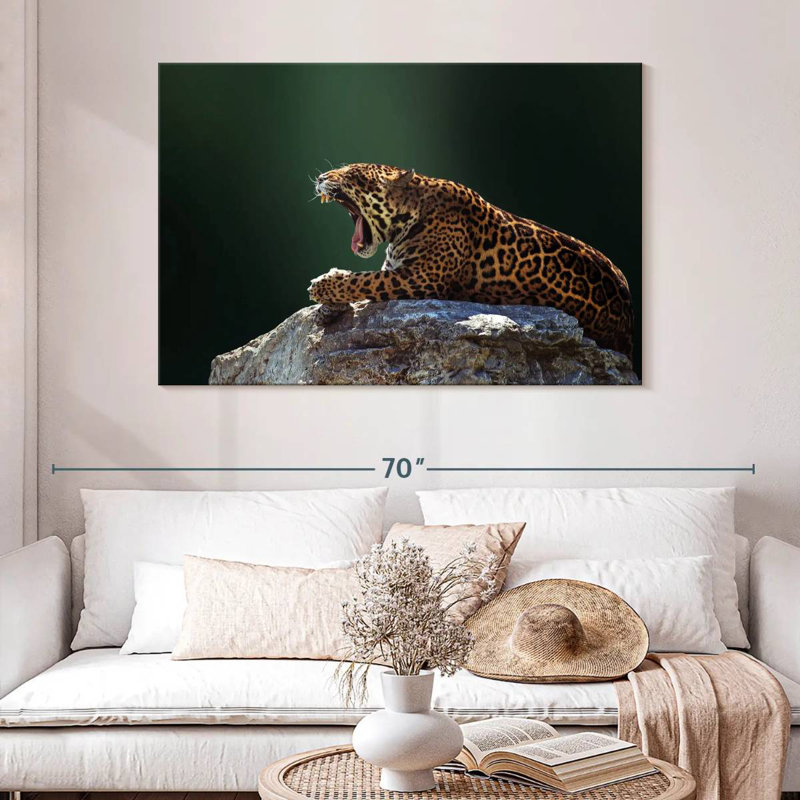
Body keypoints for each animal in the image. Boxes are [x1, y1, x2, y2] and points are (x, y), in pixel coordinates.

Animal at [309, 163, 634, 359]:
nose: (321, 178)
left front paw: (323, 286)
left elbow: (365, 281)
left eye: (350, 175)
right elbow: (363, 282)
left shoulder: (418, 279)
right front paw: (327, 307)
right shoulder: (397, 269)